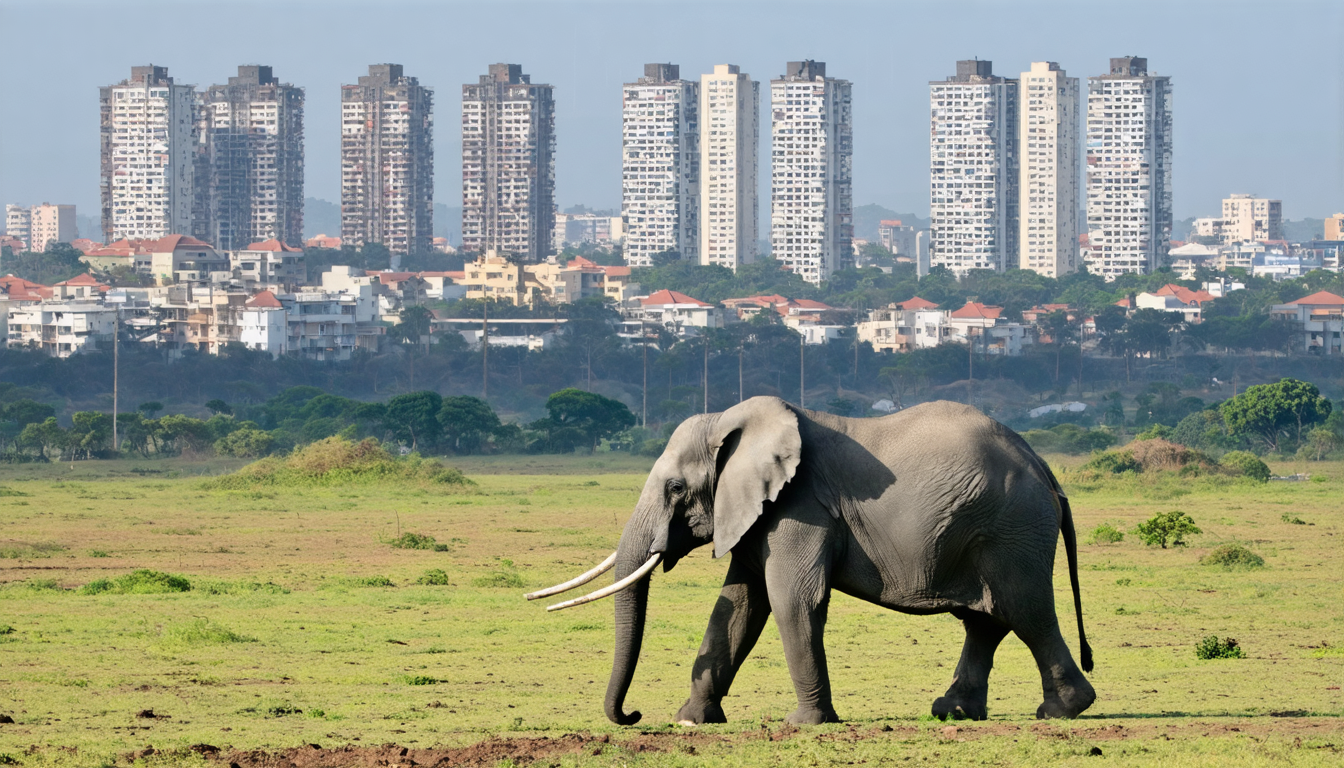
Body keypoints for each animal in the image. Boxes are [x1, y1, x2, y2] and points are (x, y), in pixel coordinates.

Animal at [527, 396, 1095, 726]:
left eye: (675, 488)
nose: (633, 714)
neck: (734, 424)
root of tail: (1045, 469)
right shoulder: (759, 512)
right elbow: (739, 605)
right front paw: (691, 721)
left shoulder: (800, 506)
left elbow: (790, 600)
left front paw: (804, 725)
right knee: (986, 619)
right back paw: (953, 713)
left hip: (1012, 528)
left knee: (1024, 610)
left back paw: (1063, 711)